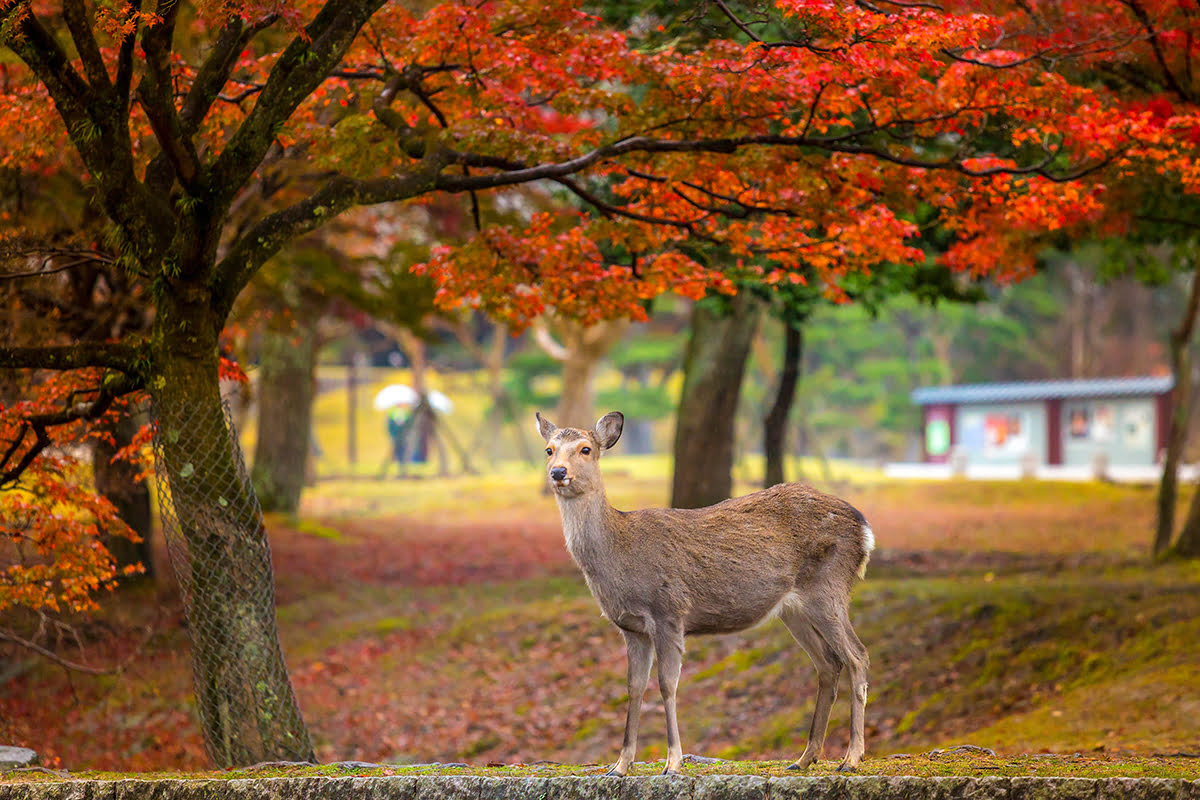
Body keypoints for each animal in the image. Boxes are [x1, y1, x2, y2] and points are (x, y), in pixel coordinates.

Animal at [540, 412, 878, 777]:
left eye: (585, 449)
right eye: (549, 449)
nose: (558, 472)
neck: (619, 552)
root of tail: (865, 530)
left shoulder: (669, 611)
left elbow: (667, 684)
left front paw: (673, 763)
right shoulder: (631, 628)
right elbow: (633, 687)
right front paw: (619, 766)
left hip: (828, 588)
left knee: (857, 656)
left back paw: (851, 758)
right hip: (794, 610)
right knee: (828, 664)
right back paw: (804, 758)